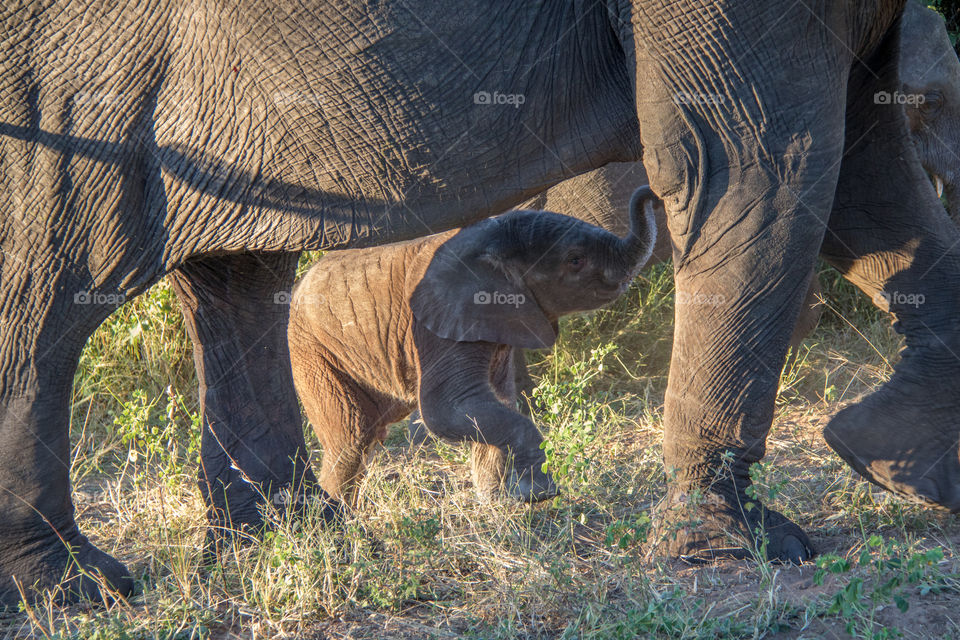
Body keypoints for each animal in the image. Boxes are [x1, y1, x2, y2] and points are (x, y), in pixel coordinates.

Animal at [286, 185, 660, 504]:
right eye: (575, 260)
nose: (651, 193)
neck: (491, 240)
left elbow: (498, 400)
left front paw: (495, 500)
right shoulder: (438, 325)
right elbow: (447, 408)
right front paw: (538, 495)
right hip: (312, 352)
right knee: (351, 439)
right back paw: (340, 516)